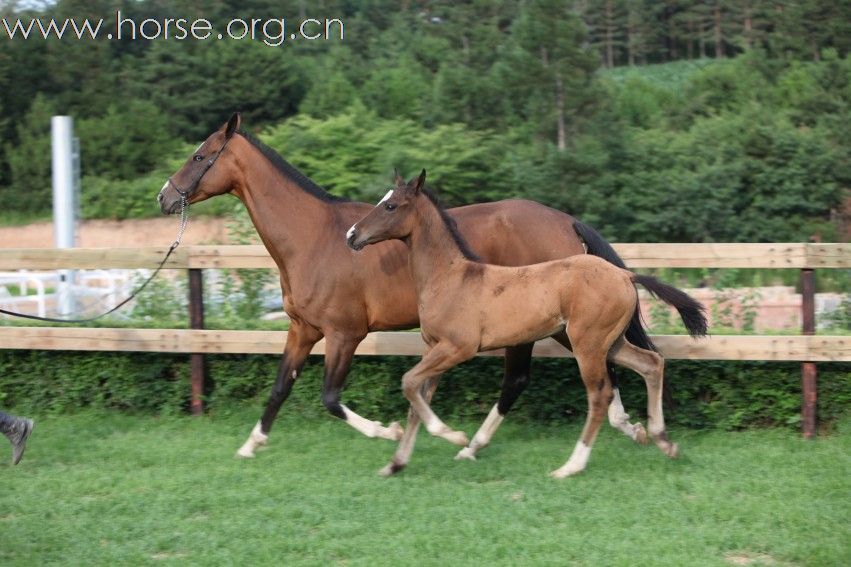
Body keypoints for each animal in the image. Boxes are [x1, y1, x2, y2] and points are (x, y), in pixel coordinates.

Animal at [156, 113, 656, 464]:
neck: (314, 238)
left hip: (541, 328)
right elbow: (280, 387)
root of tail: (566, 221)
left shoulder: (344, 333)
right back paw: (631, 428)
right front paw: (251, 444)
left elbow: (331, 398)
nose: (164, 196)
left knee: (530, 379)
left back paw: (475, 444)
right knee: (606, 367)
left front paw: (391, 432)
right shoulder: (302, 330)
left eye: (200, 156)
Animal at [344, 171, 704, 478]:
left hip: (586, 344)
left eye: (390, 205)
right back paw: (663, 440)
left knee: (598, 394)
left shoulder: (458, 348)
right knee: (650, 363)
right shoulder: (435, 349)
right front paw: (395, 464)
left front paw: (455, 437)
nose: (352, 235)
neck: (450, 277)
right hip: (609, 342)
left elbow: (408, 383)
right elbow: (416, 399)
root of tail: (626, 275)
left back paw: (570, 466)